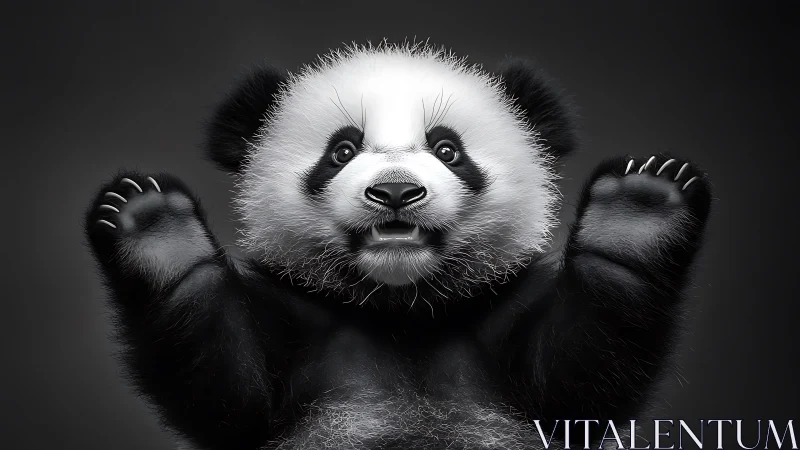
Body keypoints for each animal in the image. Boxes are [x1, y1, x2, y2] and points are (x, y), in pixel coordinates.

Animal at [85, 42, 711, 450]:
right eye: (341, 150)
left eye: (447, 149)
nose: (394, 192)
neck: (402, 308)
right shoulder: (297, 316)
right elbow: (228, 395)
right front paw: (157, 232)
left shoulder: (497, 311)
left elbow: (575, 383)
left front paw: (636, 213)